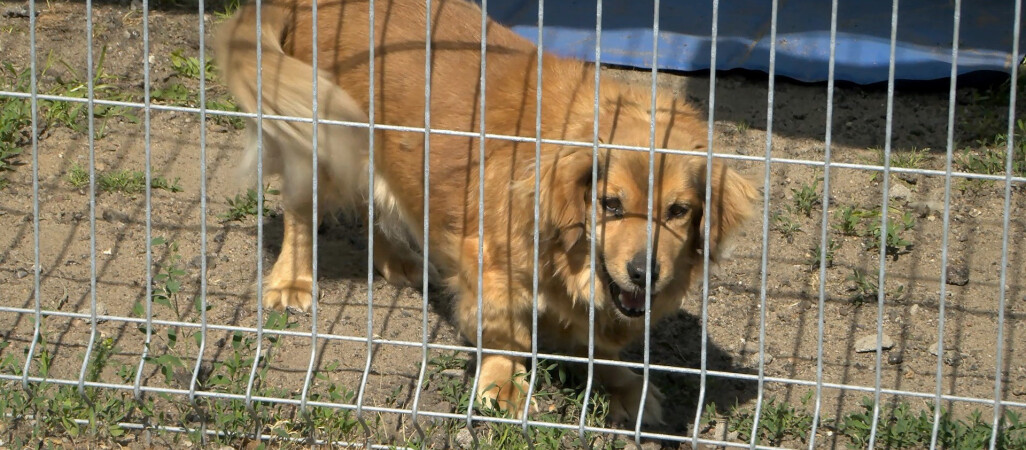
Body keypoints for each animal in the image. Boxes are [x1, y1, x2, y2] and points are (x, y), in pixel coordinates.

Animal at [212, 0, 759, 426]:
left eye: (679, 211)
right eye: (611, 204)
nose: (645, 273)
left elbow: (594, 344)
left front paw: (624, 384)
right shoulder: (490, 262)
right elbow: (506, 332)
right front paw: (504, 385)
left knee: (374, 204)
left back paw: (396, 261)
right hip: (318, 140)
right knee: (301, 214)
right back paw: (293, 281)